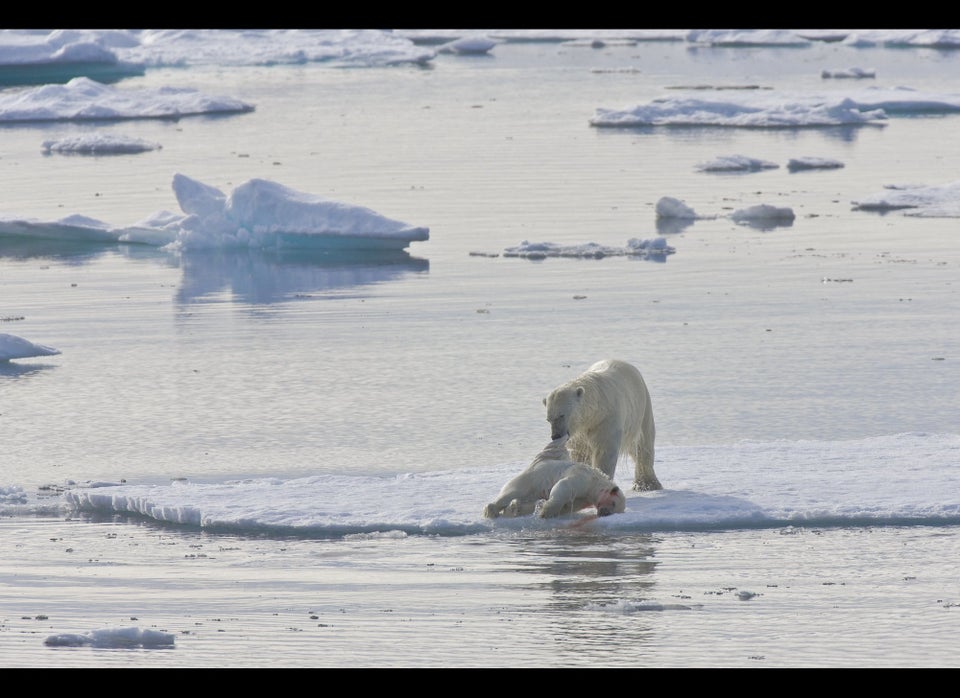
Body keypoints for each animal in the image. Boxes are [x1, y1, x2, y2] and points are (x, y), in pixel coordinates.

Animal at [480, 438, 632, 520]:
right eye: (613, 503)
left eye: (615, 510)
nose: (604, 513)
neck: (596, 482)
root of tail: (536, 463)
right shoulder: (583, 478)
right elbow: (564, 487)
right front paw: (546, 513)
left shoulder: (585, 499)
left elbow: (570, 505)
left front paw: (544, 509)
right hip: (528, 480)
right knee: (511, 493)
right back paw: (492, 511)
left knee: (525, 500)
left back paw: (514, 509)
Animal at [544, 358, 664, 490]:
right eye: (549, 419)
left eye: (562, 415)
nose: (555, 436)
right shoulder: (579, 432)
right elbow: (579, 452)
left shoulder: (606, 419)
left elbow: (604, 451)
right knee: (633, 448)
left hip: (642, 407)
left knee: (644, 442)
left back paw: (647, 484)